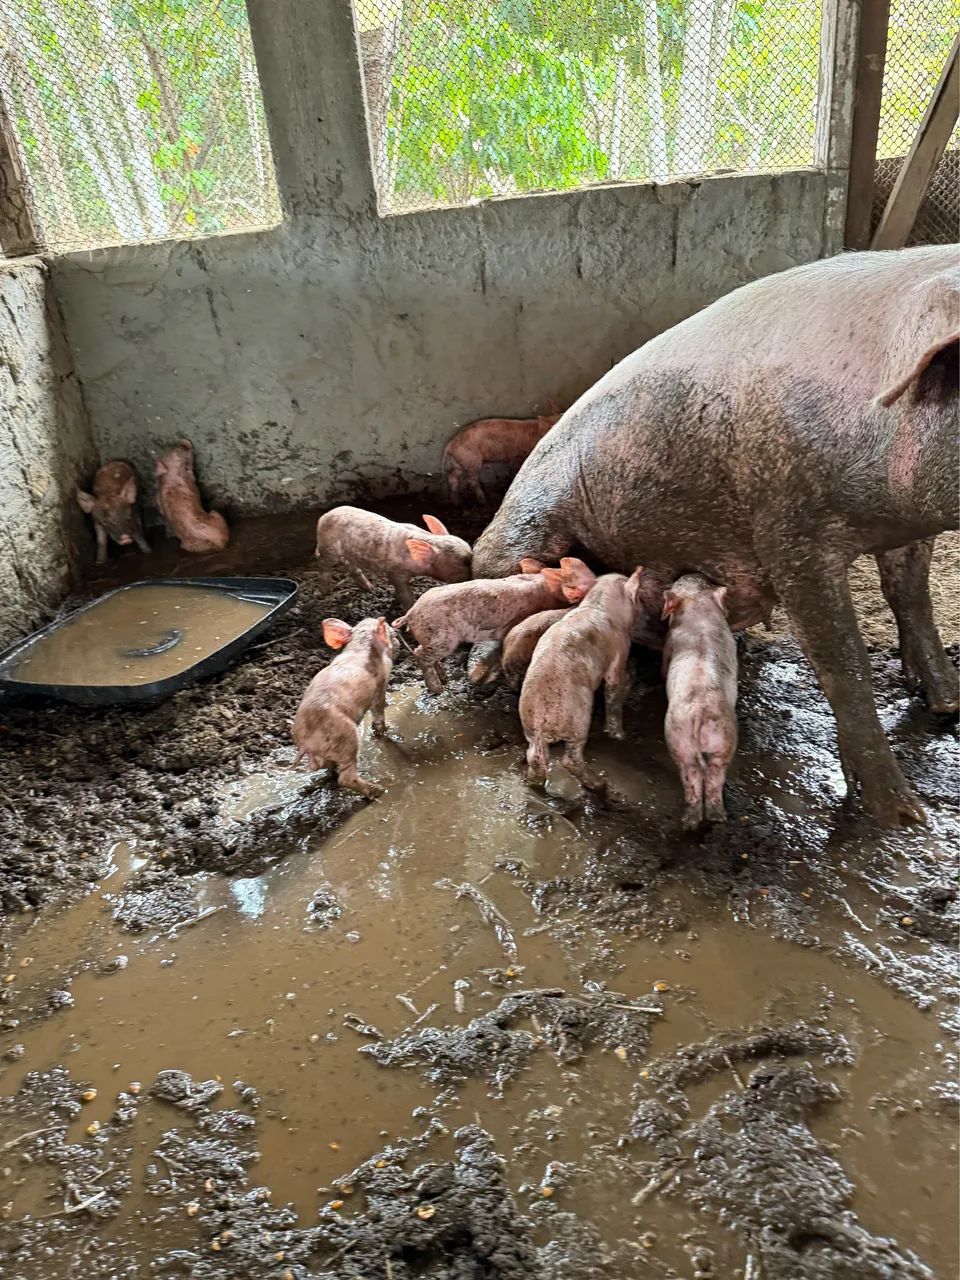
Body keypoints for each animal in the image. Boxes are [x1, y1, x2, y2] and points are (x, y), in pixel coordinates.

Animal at [292, 616, 397, 798]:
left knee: (326, 768)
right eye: (388, 631)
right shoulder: (380, 685)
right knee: (346, 777)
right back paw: (378, 790)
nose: (396, 633)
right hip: (348, 739)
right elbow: (379, 710)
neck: (360, 646)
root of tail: (308, 742)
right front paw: (385, 729)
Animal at [314, 507, 472, 611]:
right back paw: (325, 592)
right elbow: (404, 593)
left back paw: (369, 588)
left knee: (350, 565)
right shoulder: (396, 572)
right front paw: (409, 607)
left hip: (347, 553)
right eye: (465, 562)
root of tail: (323, 517)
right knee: (323, 565)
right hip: (329, 548)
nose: (472, 578)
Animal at [394, 557, 596, 694]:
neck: (544, 588)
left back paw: (444, 679)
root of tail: (410, 614)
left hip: (431, 639)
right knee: (420, 654)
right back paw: (438, 689)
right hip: (441, 638)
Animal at [519, 570, 643, 791]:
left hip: (529, 727)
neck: (598, 604)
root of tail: (541, 715)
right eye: (638, 597)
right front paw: (619, 734)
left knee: (534, 756)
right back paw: (599, 784)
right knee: (570, 759)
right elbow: (614, 687)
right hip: (578, 717)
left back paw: (535, 783)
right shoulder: (620, 650)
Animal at [661, 574, 738, 831]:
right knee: (711, 775)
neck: (699, 608)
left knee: (694, 774)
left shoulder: (667, 643)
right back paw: (710, 819)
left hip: (680, 737)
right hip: (719, 739)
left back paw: (695, 822)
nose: (691, 574)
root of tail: (700, 712)